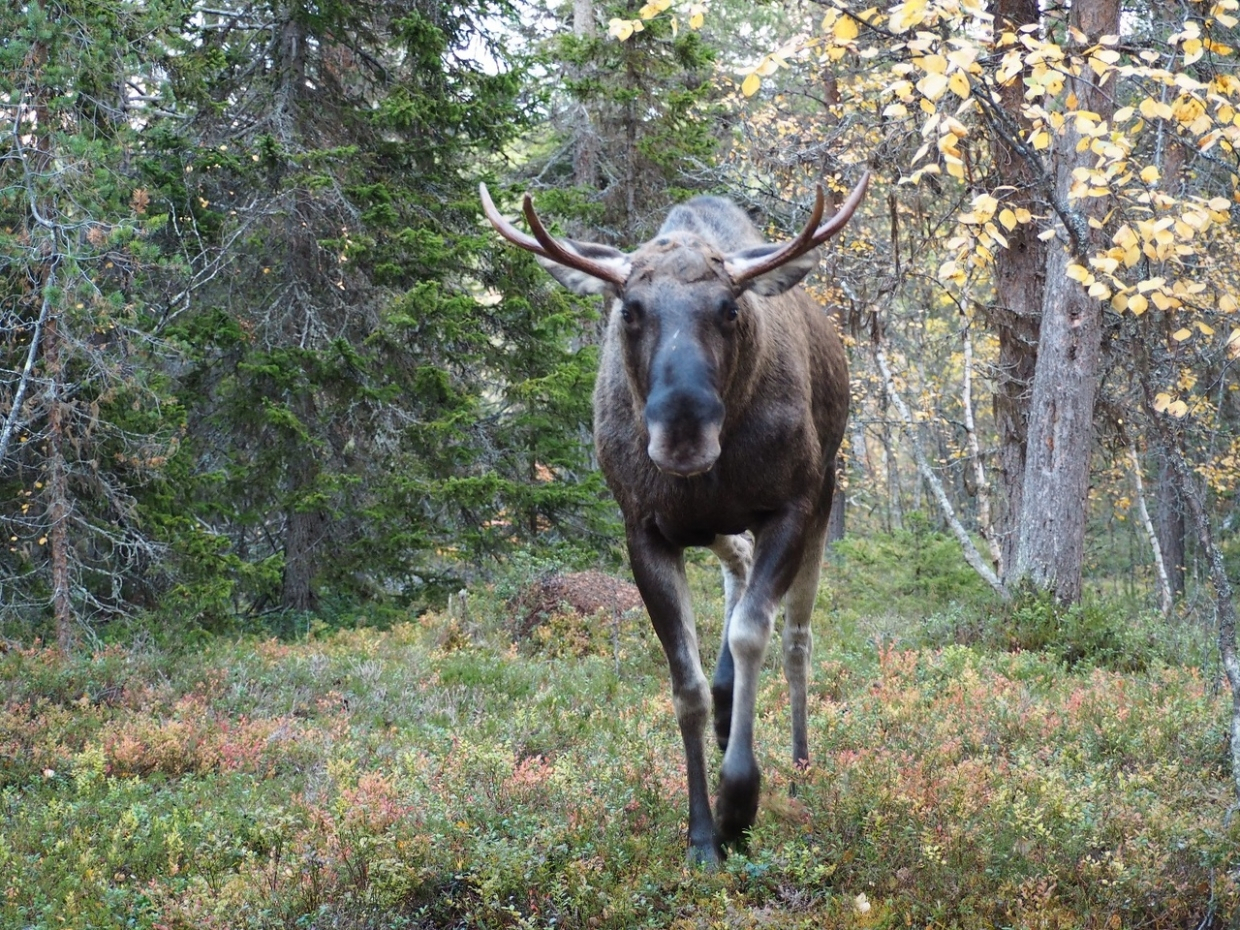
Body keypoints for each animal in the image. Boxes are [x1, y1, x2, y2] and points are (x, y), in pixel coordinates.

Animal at [478, 174, 868, 868]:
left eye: (730, 308)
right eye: (629, 309)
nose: (683, 432)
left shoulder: (790, 506)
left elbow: (751, 635)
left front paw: (740, 800)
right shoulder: (646, 530)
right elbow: (685, 684)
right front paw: (701, 834)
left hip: (822, 497)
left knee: (796, 638)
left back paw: (799, 766)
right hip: (712, 525)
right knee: (738, 570)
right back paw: (728, 712)